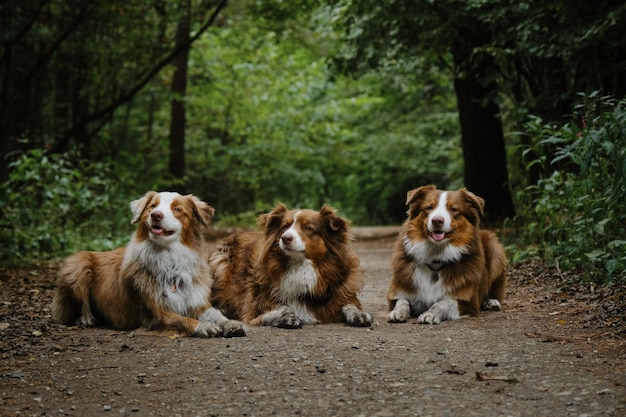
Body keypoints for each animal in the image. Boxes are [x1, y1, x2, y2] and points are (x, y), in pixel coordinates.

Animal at [53, 192, 245, 338]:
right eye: (152, 206)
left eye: (177, 209)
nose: (156, 215)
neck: (170, 259)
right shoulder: (155, 312)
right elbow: (181, 320)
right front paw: (202, 326)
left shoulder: (197, 302)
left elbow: (216, 314)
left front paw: (230, 323)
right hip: (78, 264)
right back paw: (84, 318)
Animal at [211, 203, 370, 326]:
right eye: (285, 226)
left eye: (308, 228)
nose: (285, 238)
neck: (300, 267)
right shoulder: (254, 306)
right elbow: (282, 308)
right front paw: (286, 316)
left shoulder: (342, 292)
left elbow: (350, 304)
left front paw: (359, 314)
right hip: (220, 262)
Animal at [386, 184, 508, 324]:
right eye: (429, 207)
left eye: (454, 209)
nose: (437, 220)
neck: (436, 261)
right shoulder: (399, 291)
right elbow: (402, 302)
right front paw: (397, 312)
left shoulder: (467, 302)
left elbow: (443, 303)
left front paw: (430, 314)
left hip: (494, 247)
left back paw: (491, 302)